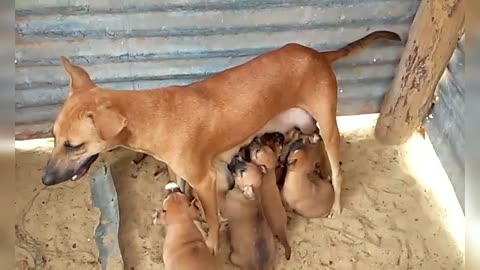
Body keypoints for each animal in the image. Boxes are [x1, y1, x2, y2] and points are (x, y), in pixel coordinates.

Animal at [41, 30, 402, 253]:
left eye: (73, 145)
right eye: (54, 136)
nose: (44, 180)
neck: (153, 115)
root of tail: (318, 54)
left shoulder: (205, 179)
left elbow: (213, 220)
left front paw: (211, 246)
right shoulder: (182, 173)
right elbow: (184, 196)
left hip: (328, 125)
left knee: (339, 170)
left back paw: (337, 205)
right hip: (308, 126)